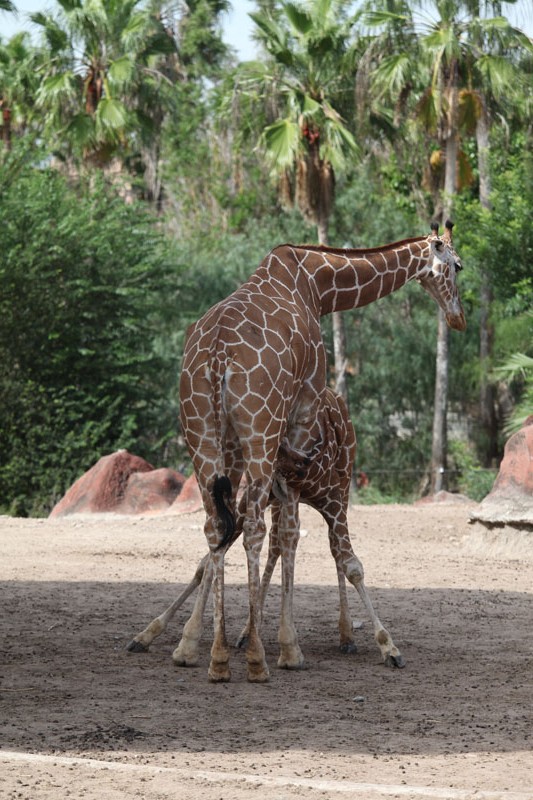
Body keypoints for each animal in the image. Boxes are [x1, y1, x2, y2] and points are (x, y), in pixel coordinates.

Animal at [127, 388, 405, 669]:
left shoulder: (331, 499)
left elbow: (352, 566)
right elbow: (209, 562)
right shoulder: (262, 500)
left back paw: (346, 636)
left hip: (342, 484)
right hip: (278, 501)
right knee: (275, 545)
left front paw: (388, 646)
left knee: (330, 550)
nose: (300, 462)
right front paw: (153, 635)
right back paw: (248, 631)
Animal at [179, 220, 464, 682]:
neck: (319, 285)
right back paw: (254, 659)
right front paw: (285, 647)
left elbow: (272, 531)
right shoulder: (302, 409)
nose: (458, 318)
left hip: (202, 433)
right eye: (457, 265)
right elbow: (289, 533)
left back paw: (209, 656)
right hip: (258, 431)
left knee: (215, 524)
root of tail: (217, 357)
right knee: (255, 527)